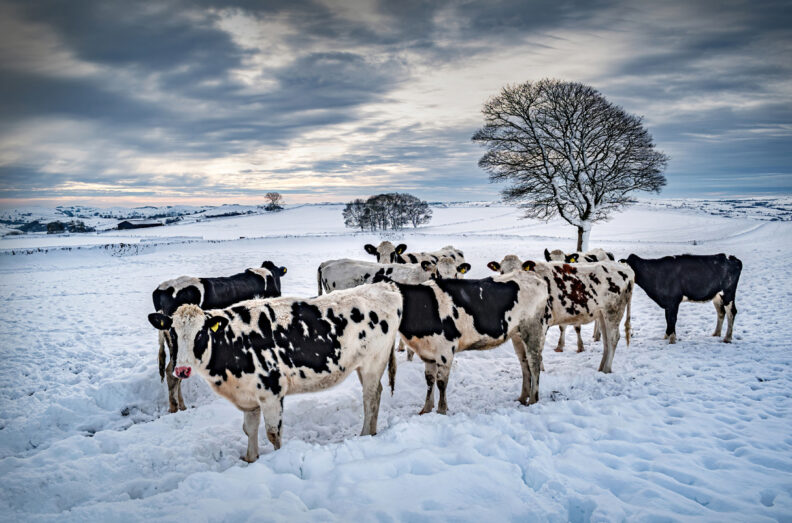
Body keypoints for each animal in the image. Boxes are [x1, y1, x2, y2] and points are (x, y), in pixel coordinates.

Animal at [148, 282, 402, 462]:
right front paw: (250, 458)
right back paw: (372, 432)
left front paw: (278, 457)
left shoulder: (271, 391)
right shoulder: (249, 396)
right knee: (378, 393)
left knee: (370, 398)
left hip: (373, 363)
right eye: (172, 333)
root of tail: (386, 287)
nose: (182, 369)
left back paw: (365, 434)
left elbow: (273, 433)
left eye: (201, 333)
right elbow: (249, 429)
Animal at [395, 270, 550, 414]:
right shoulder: (428, 353)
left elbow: (441, 382)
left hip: (533, 329)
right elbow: (429, 380)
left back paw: (533, 400)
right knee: (524, 364)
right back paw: (522, 398)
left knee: (534, 364)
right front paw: (426, 410)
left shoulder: (445, 351)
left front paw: (441, 410)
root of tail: (534, 275)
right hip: (517, 335)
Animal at [487, 255, 633, 374]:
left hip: (613, 311)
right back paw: (601, 368)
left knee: (613, 338)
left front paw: (540, 369)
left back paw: (607, 369)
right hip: (603, 314)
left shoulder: (541, 323)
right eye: (502, 272)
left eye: (520, 271)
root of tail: (625, 267)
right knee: (606, 340)